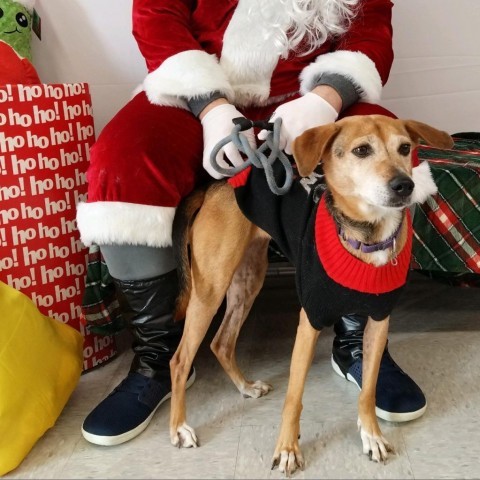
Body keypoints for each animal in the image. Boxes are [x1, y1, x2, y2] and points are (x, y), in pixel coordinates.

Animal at [169, 114, 454, 474]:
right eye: (362, 150)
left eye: (405, 148)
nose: (404, 185)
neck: (367, 236)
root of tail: (215, 185)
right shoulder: (310, 321)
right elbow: (294, 396)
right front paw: (288, 449)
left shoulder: (379, 320)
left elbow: (369, 389)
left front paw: (371, 434)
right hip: (211, 287)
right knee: (180, 359)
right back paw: (179, 427)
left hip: (247, 280)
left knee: (222, 342)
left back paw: (245, 387)